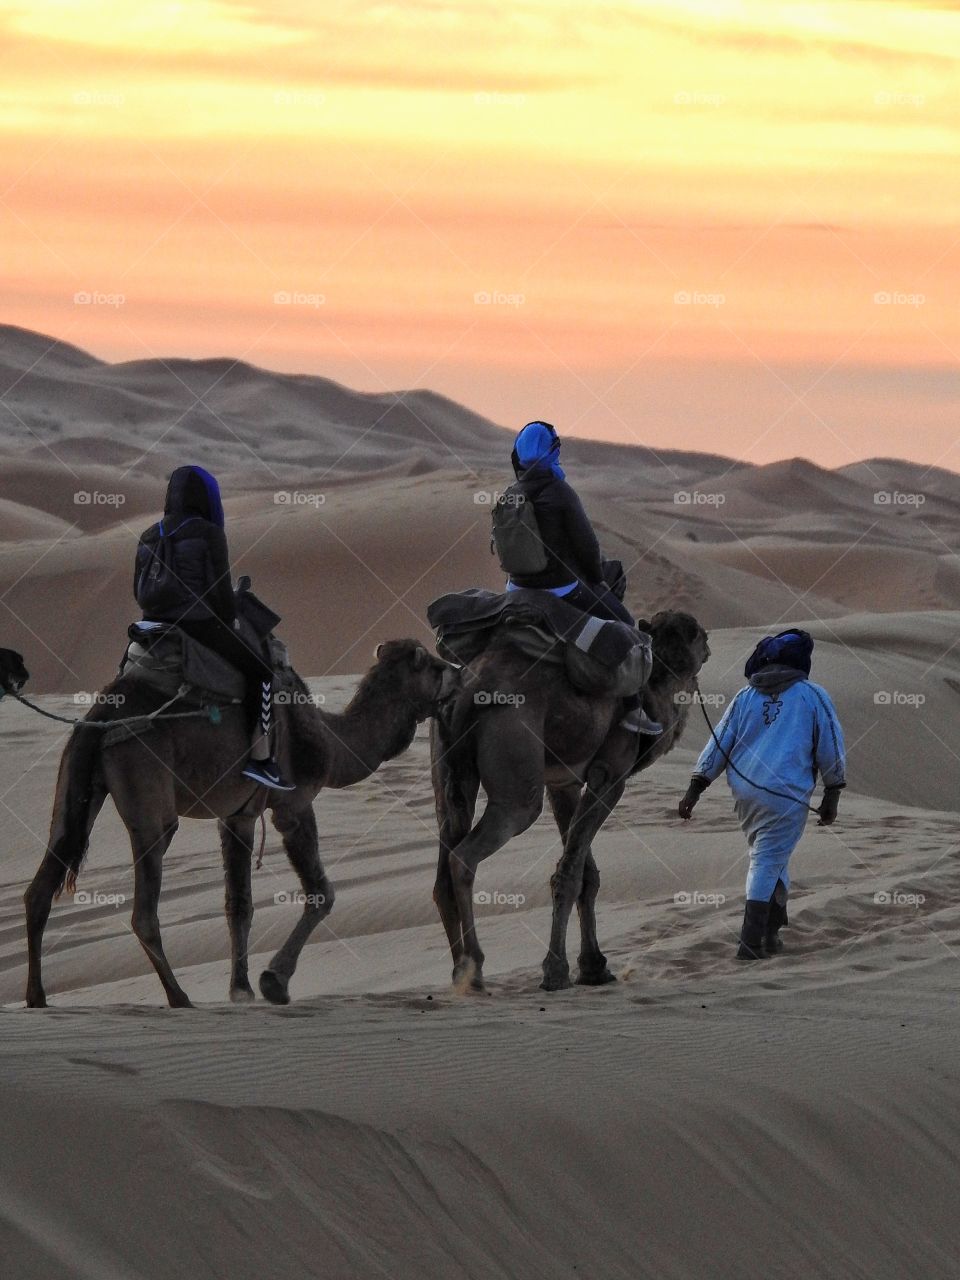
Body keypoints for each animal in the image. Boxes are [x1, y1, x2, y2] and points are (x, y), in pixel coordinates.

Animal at [24, 640, 455, 1008]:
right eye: (435, 666)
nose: (458, 673)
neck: (332, 744)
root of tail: (100, 712)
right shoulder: (294, 805)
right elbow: (321, 893)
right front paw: (274, 982)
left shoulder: (238, 816)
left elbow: (239, 904)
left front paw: (241, 988)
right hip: (146, 790)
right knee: (144, 907)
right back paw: (179, 997)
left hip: (76, 784)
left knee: (42, 884)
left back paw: (37, 997)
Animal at [432, 609, 711, 988]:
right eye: (696, 632)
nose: (707, 644)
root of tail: (466, 693)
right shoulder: (610, 776)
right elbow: (570, 871)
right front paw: (557, 970)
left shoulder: (562, 784)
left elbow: (586, 872)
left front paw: (594, 967)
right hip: (516, 769)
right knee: (467, 854)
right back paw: (474, 969)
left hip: (449, 770)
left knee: (445, 853)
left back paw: (459, 969)